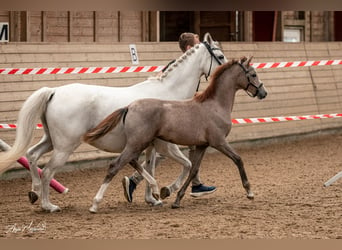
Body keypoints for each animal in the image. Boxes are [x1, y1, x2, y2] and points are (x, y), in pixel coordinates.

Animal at [0, 32, 227, 213]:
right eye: (220, 56)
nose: (226, 71)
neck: (168, 94)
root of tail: (54, 91)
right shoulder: (161, 145)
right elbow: (179, 165)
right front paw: (162, 192)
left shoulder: (149, 145)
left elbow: (150, 167)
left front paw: (151, 198)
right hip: (65, 146)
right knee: (47, 171)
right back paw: (49, 205)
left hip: (51, 140)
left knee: (32, 155)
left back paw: (34, 193)